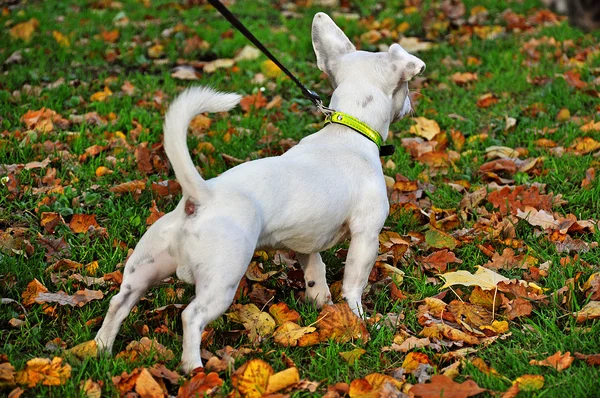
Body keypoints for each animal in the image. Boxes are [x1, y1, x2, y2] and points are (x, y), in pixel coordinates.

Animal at [96, 13, 424, 374]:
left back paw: (100, 349)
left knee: (119, 302)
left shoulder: (306, 242)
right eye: (407, 87)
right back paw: (193, 367)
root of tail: (202, 198)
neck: (348, 130)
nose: (410, 105)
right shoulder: (367, 235)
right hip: (222, 278)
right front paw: (359, 321)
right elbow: (354, 284)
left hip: (144, 270)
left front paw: (321, 304)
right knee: (191, 316)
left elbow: (316, 272)